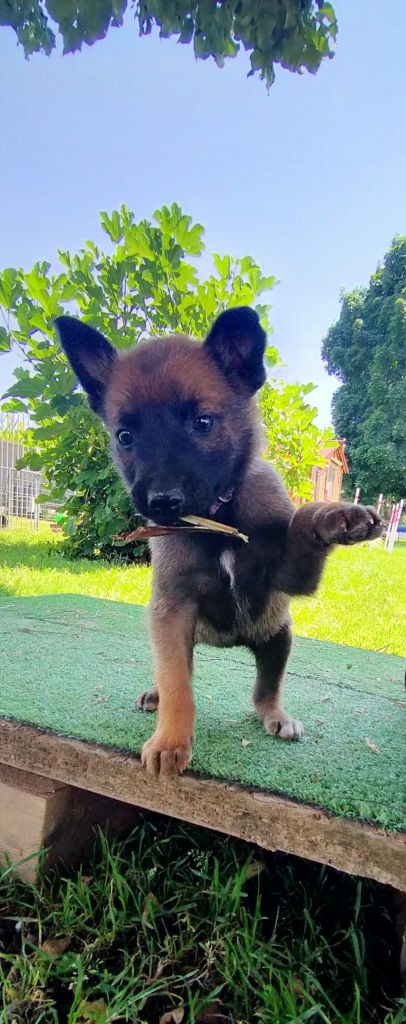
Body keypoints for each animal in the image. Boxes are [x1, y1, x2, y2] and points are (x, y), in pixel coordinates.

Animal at [56, 308, 382, 777]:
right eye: (125, 436)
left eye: (203, 423)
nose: (163, 502)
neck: (217, 519)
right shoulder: (172, 611)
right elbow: (179, 687)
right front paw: (171, 739)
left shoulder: (287, 576)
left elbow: (304, 521)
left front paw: (338, 517)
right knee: (176, 675)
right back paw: (156, 694)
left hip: (277, 637)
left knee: (264, 691)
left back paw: (276, 715)